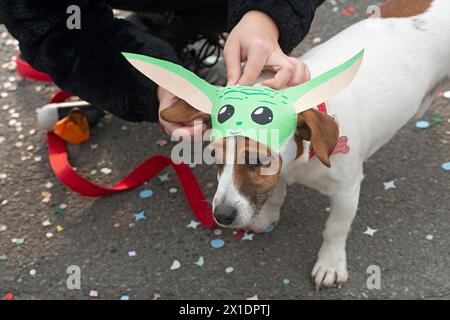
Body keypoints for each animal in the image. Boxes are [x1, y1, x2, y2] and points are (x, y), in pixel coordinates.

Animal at [162, 0, 450, 288]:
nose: (221, 216)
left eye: (257, 160)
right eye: (214, 156)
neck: (304, 157)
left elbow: (334, 229)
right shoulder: (280, 174)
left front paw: (330, 263)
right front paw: (267, 216)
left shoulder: (347, 191)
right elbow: (276, 194)